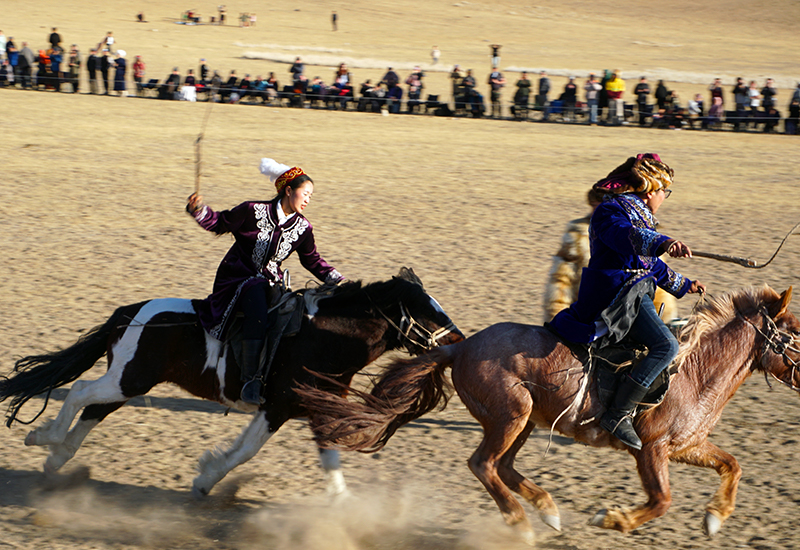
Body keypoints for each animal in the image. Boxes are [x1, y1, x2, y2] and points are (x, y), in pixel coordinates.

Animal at [0, 270, 462, 500]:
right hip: (127, 379)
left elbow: (315, 459)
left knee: (94, 409)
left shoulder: (308, 409)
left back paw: (57, 459)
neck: (324, 336)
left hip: (128, 383)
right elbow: (248, 451)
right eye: (429, 312)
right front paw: (206, 479)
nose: (459, 339)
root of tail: (130, 311)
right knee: (80, 393)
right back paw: (45, 439)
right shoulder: (282, 407)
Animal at [300, 286, 800, 544]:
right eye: (796, 334)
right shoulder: (651, 450)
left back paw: (547, 510)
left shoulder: (688, 446)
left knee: (502, 466)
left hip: (523, 422)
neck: (693, 371)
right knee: (484, 465)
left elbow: (732, 465)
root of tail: (461, 346)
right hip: (511, 416)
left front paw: (715, 517)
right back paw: (521, 523)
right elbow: (661, 500)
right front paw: (612, 519)